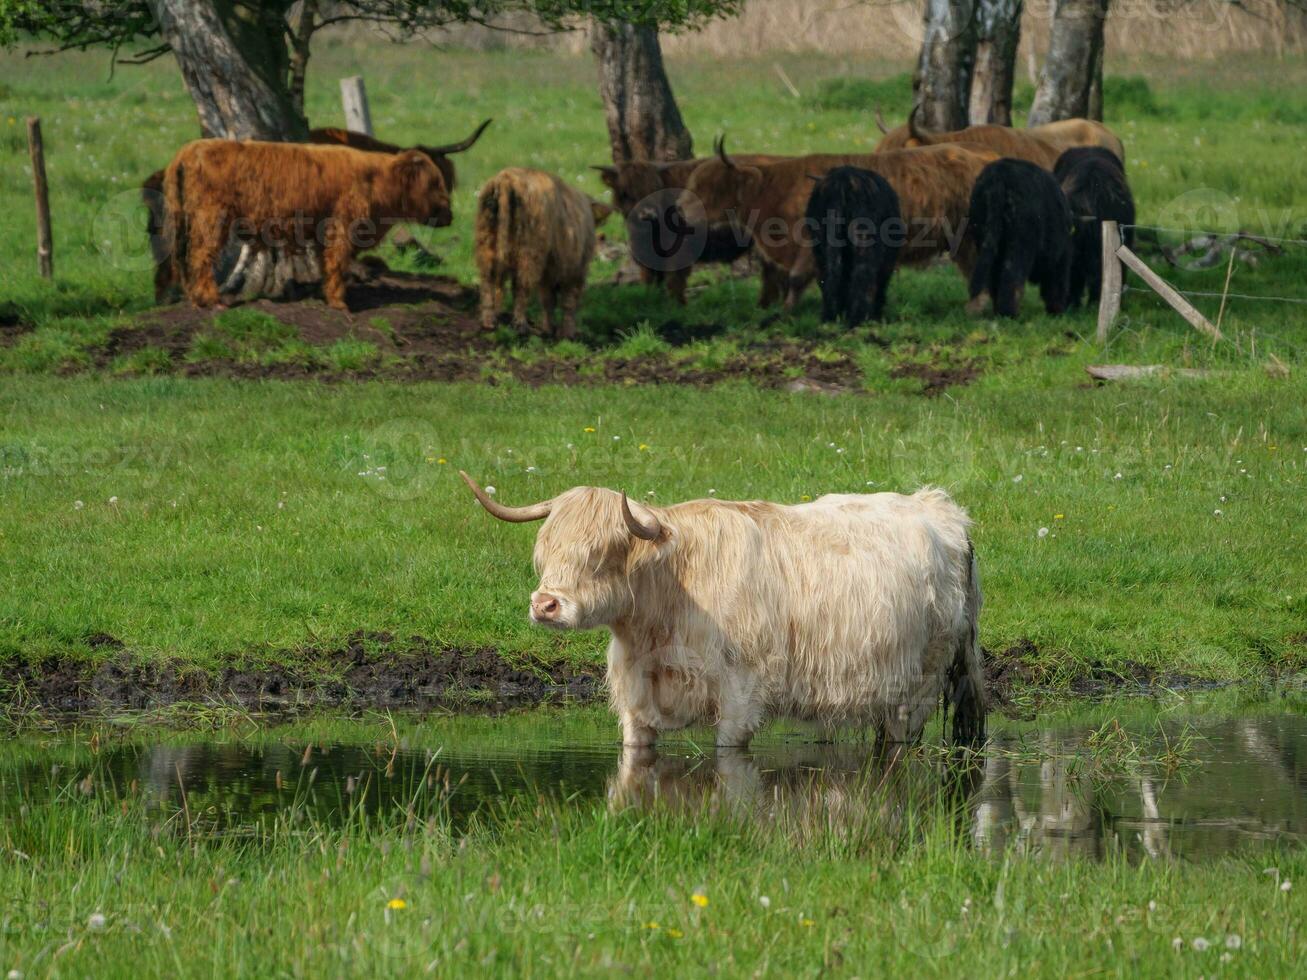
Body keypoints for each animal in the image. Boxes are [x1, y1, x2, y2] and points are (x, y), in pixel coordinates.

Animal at [162, 139, 452, 310]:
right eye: (435, 183)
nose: (450, 214)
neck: (376, 181)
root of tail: (188, 150)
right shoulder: (342, 226)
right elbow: (337, 262)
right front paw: (338, 302)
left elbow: (327, 263)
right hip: (211, 218)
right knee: (200, 256)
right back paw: (212, 300)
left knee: (185, 258)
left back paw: (195, 298)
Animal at [799, 165, 904, 326]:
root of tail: (843, 180)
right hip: (864, 240)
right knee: (863, 275)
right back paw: (857, 318)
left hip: (824, 245)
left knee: (830, 273)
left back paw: (830, 317)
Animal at [972, 158, 1071, 318]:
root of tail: (998, 177)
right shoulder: (1059, 259)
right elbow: (1056, 285)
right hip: (1021, 244)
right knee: (1011, 277)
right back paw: (1009, 313)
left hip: (985, 238)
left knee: (994, 278)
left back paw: (999, 311)